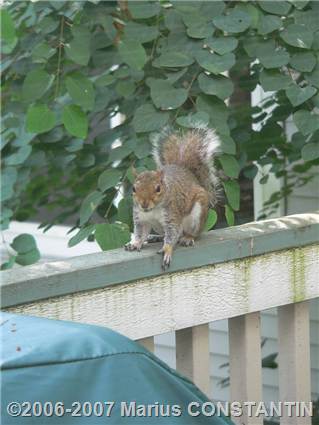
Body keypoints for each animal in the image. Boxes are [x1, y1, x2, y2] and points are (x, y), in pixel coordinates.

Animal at [124, 127, 221, 270]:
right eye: (133, 189)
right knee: (164, 233)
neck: (153, 210)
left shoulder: (172, 214)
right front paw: (135, 243)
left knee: (191, 233)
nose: (144, 204)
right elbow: (140, 233)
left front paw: (167, 249)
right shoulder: (141, 218)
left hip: (197, 215)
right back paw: (155, 237)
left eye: (158, 188)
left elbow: (173, 233)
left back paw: (188, 238)